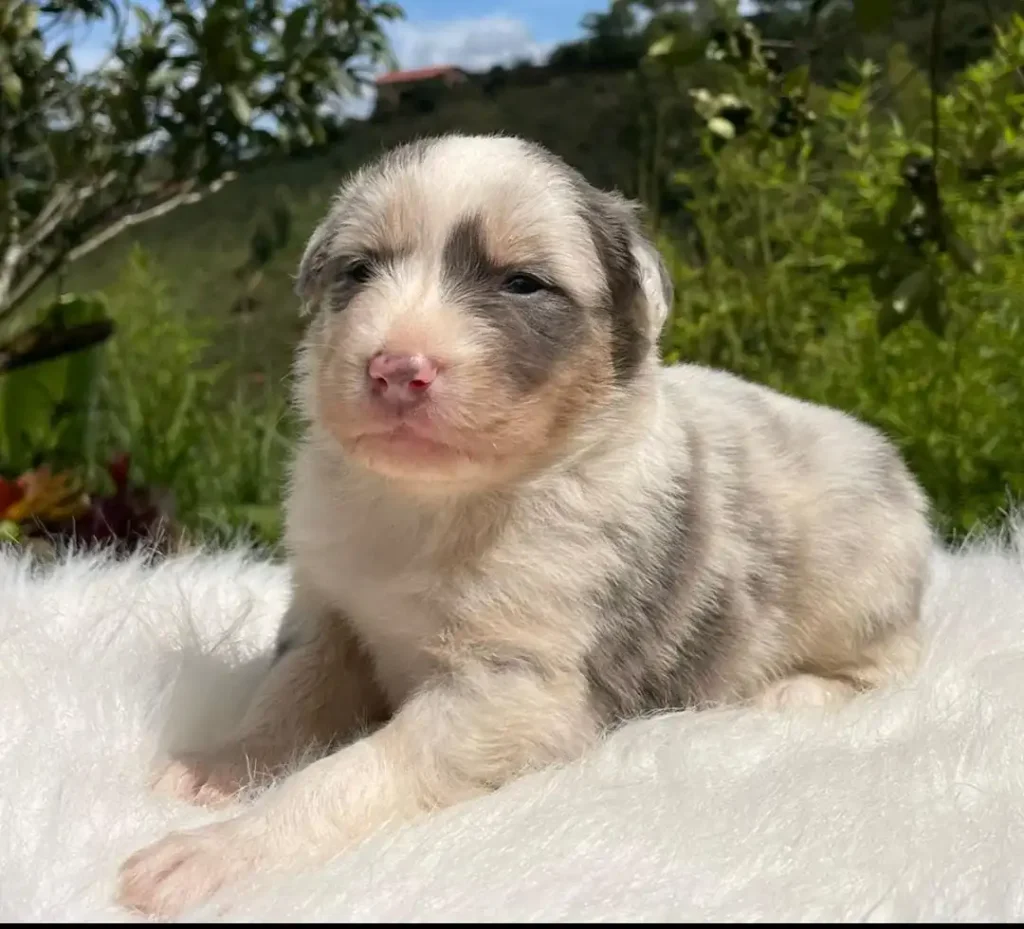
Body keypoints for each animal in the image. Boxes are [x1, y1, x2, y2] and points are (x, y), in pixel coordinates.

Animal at [116, 134, 933, 917]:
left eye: (521, 283)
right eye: (359, 270)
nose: (395, 368)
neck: (432, 508)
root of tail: (892, 465)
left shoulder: (513, 688)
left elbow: (351, 772)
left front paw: (217, 851)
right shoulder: (329, 616)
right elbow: (284, 701)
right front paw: (220, 768)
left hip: (859, 591)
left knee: (894, 667)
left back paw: (788, 695)